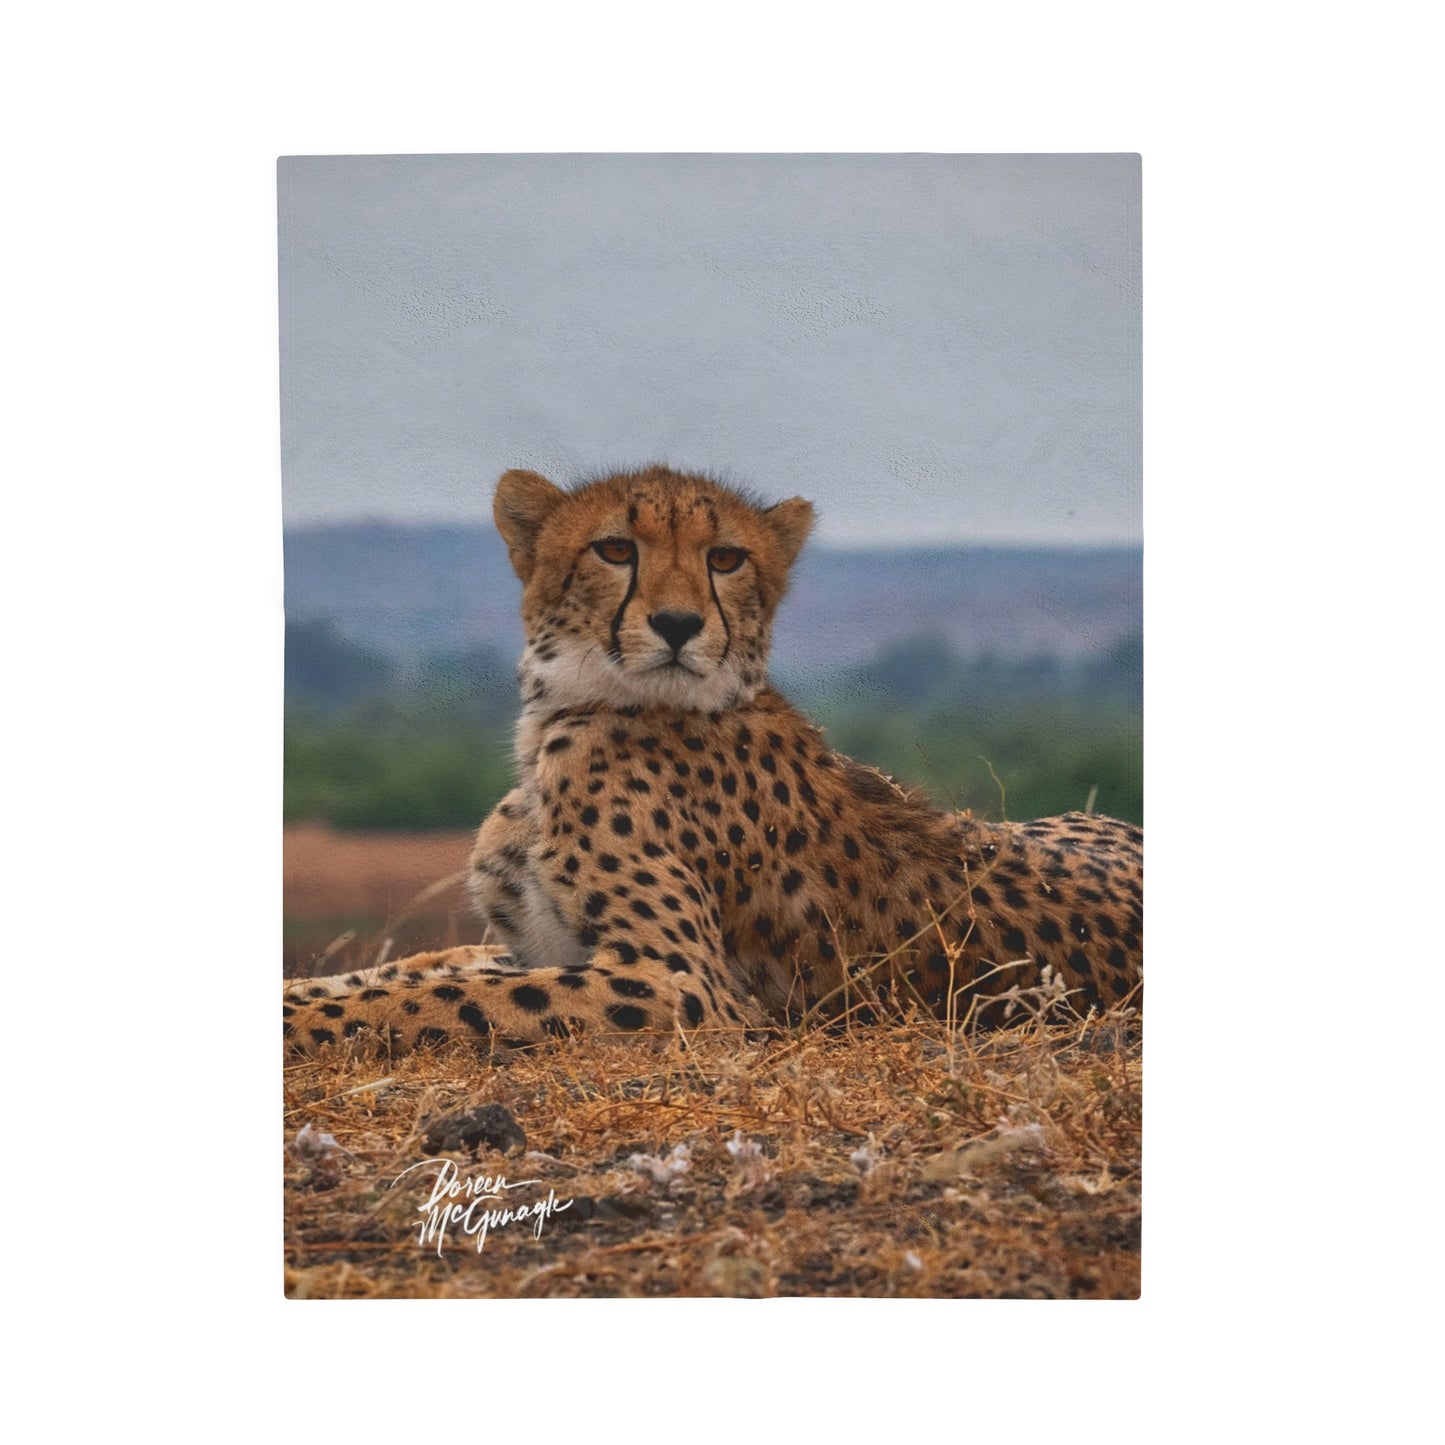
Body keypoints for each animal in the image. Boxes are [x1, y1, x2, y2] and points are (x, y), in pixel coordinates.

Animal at [283, 465, 1142, 1055]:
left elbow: (432, 997)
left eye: (725, 558)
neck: (567, 715)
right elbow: (420, 969)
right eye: (614, 549)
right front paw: (303, 989)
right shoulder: (535, 945)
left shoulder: (684, 983)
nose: (676, 623)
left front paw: (302, 1018)